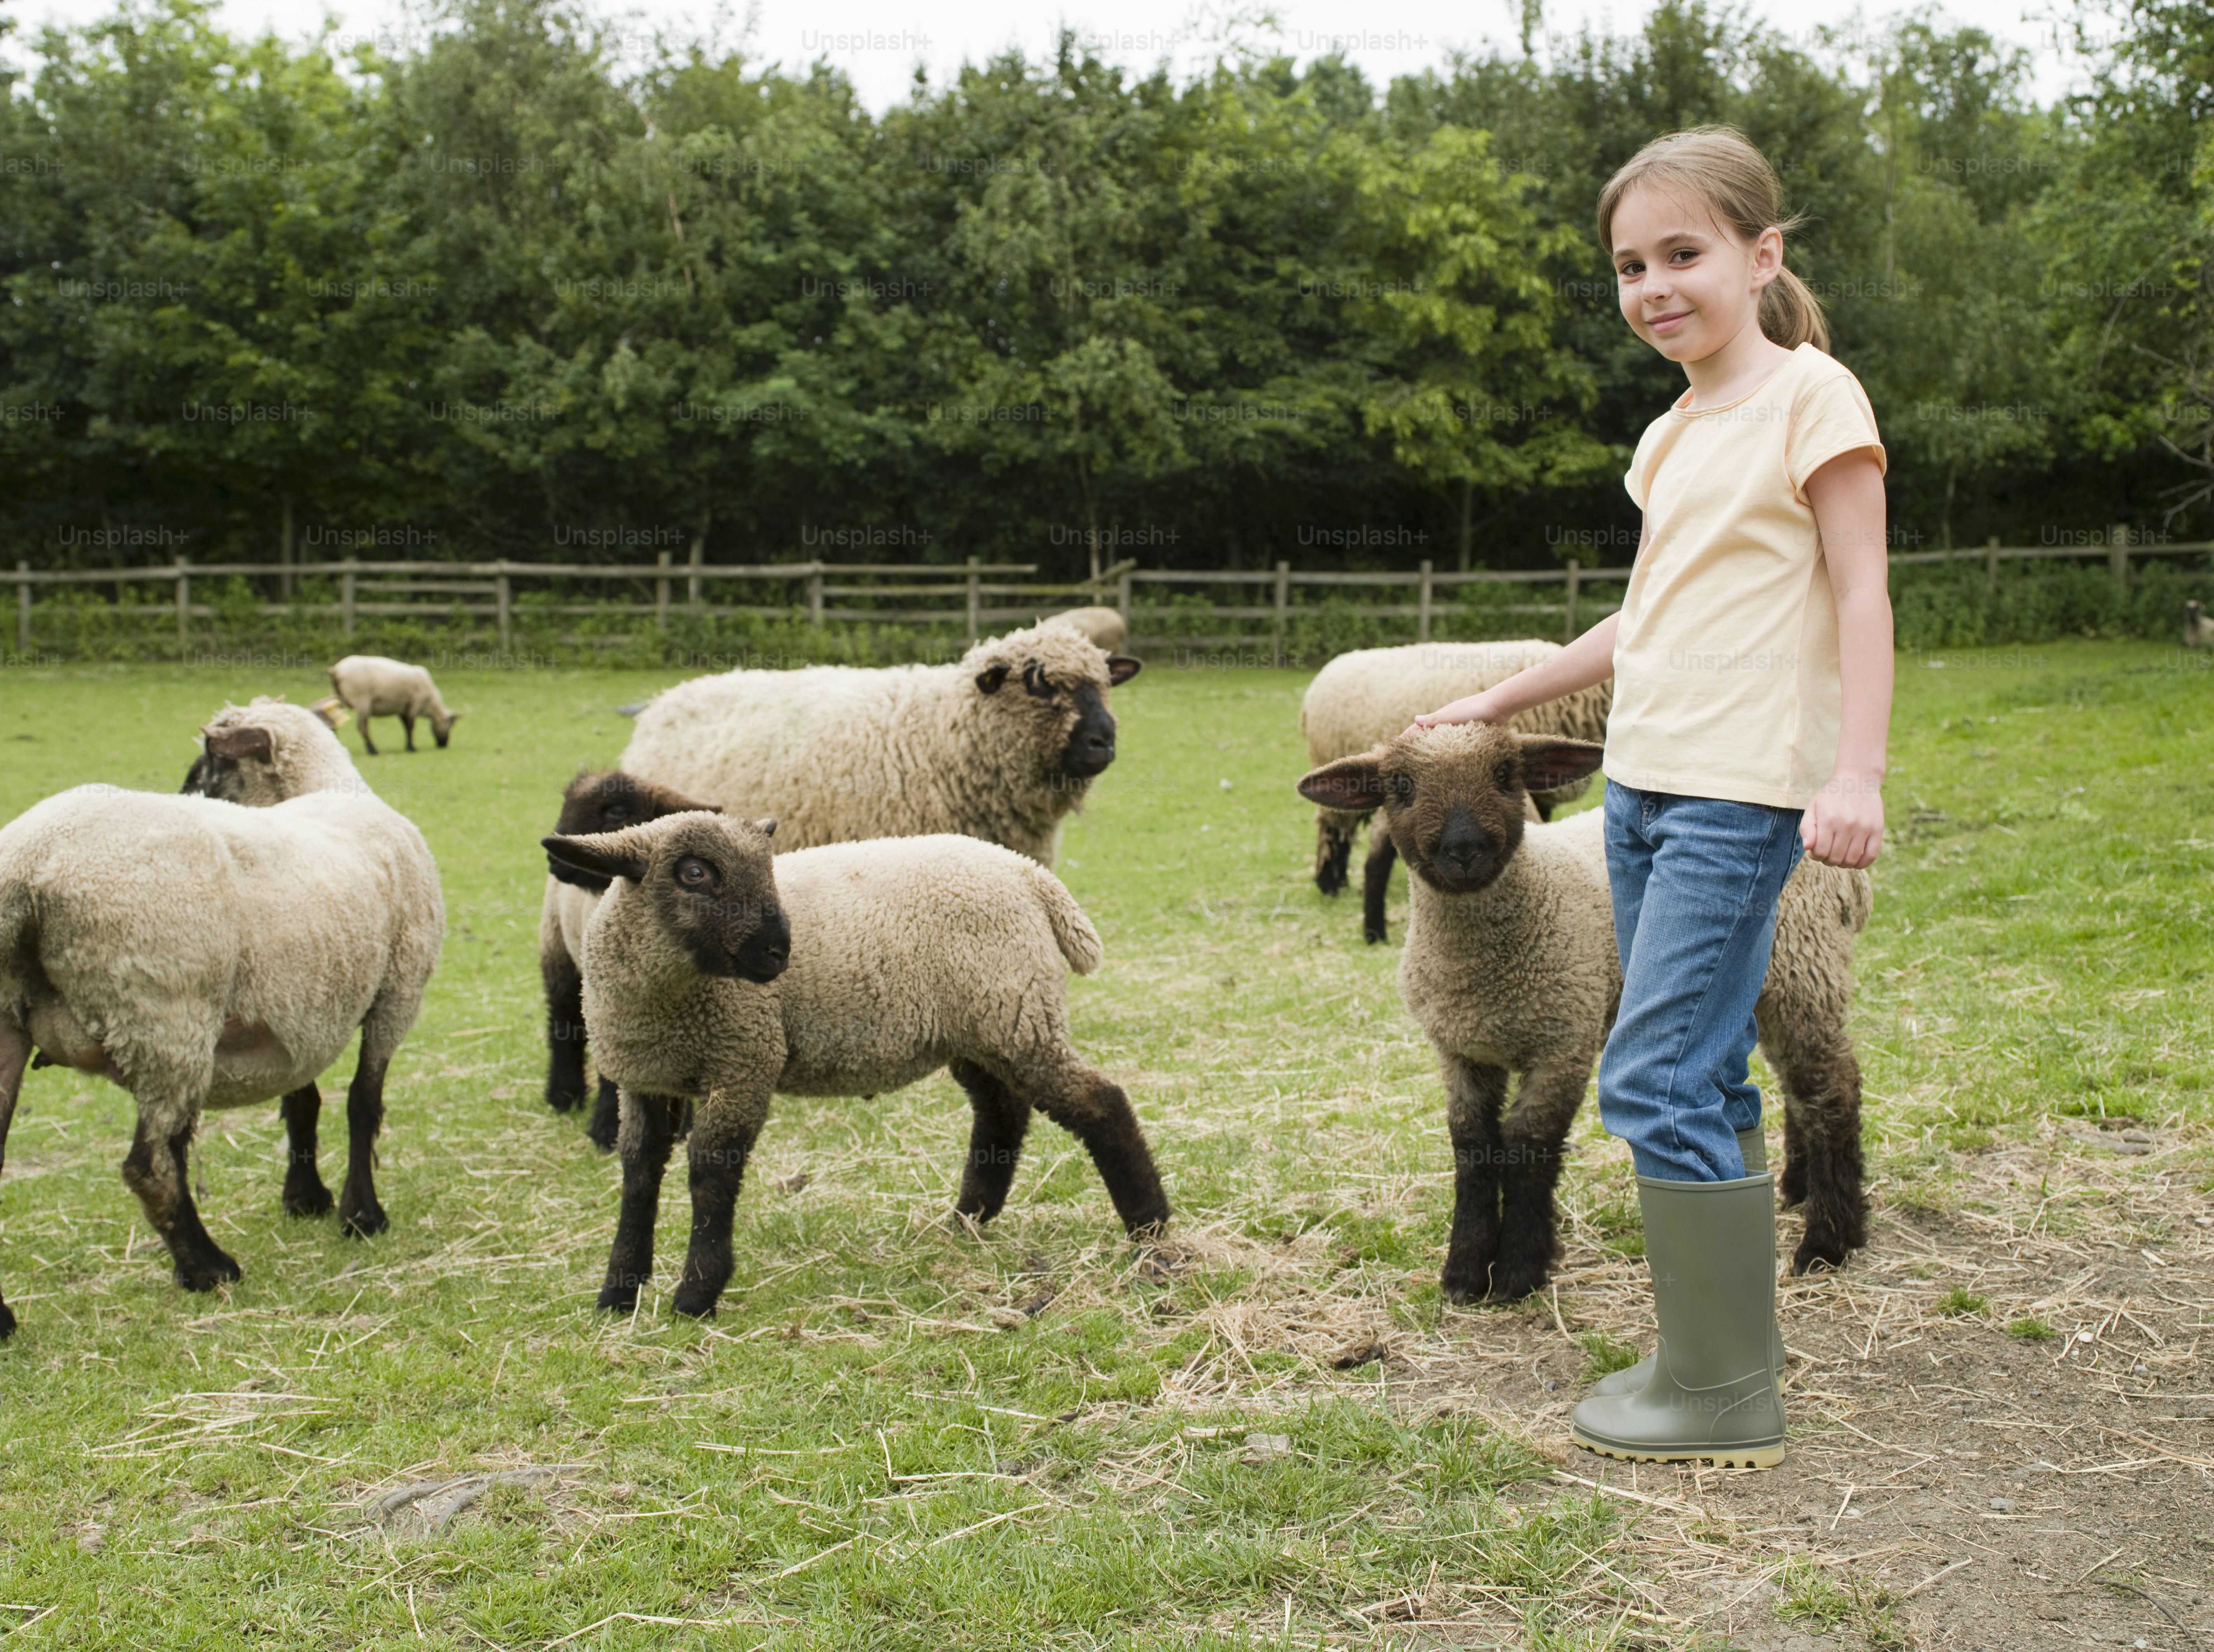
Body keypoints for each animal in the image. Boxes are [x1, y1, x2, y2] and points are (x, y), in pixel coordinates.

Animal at [0, 699, 443, 1333]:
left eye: (207, 769)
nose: (186, 789)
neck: (330, 789)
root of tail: (27, 868)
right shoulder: (398, 992)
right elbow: (363, 1104)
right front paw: (363, 1214)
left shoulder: (301, 1005)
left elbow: (304, 1102)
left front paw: (306, 1196)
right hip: (167, 1016)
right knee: (151, 1164)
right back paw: (208, 1268)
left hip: (18, 1024)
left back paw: (5, 1318)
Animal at [326, 655, 462, 755]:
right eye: (450, 726)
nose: (443, 745)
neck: (431, 705)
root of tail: (337, 670)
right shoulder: (415, 703)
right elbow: (411, 727)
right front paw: (412, 748)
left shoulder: (403, 708)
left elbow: (406, 727)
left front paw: (409, 747)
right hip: (362, 701)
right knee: (362, 727)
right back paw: (373, 750)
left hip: (337, 698)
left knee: (333, 722)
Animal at [540, 770, 720, 1145]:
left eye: (617, 811)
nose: (554, 859)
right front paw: (610, 1129)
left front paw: (684, 1126)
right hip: (558, 950)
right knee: (563, 1022)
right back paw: (564, 1096)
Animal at [541, 817, 1169, 1320]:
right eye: (694, 873)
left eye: (767, 869)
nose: (779, 951)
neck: (665, 995)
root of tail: (1029, 875)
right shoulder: (643, 1080)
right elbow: (639, 1174)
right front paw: (618, 1292)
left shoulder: (746, 1061)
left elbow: (711, 1173)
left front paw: (695, 1296)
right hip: (983, 1027)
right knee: (1002, 1112)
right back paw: (969, 1216)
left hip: (1016, 1013)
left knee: (1101, 1103)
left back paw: (1151, 1230)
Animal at [1296, 723, 1869, 1299]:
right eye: (1401, 785)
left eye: (1505, 774)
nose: (1463, 849)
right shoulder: (1461, 1051)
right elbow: (1472, 1147)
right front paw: (1464, 1272)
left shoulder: (1563, 1042)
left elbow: (1528, 1145)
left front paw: (1518, 1272)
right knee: (1798, 1087)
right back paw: (1796, 1190)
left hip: (1802, 963)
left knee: (1830, 1087)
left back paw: (1828, 1240)